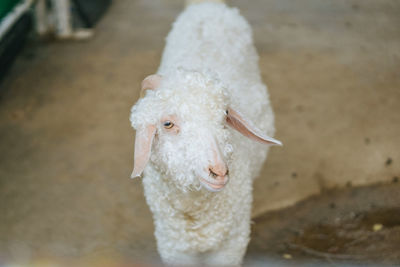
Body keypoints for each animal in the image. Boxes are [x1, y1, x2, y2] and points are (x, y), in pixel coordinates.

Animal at [130, 1, 280, 266]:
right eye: (167, 123)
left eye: (224, 116)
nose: (218, 172)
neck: (195, 214)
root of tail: (207, 5)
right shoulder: (173, 246)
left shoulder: (231, 245)